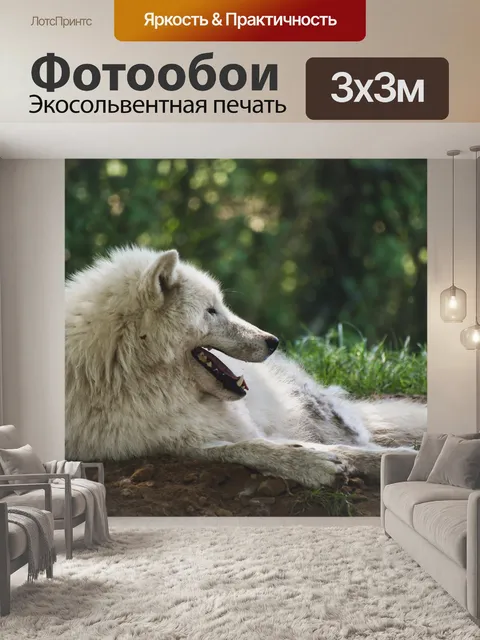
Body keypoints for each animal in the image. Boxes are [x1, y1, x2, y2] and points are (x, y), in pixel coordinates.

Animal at [65, 246, 427, 488]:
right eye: (211, 311)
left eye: (221, 306)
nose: (273, 340)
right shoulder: (173, 444)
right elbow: (247, 449)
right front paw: (313, 464)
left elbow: (340, 449)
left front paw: (391, 459)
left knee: (355, 435)